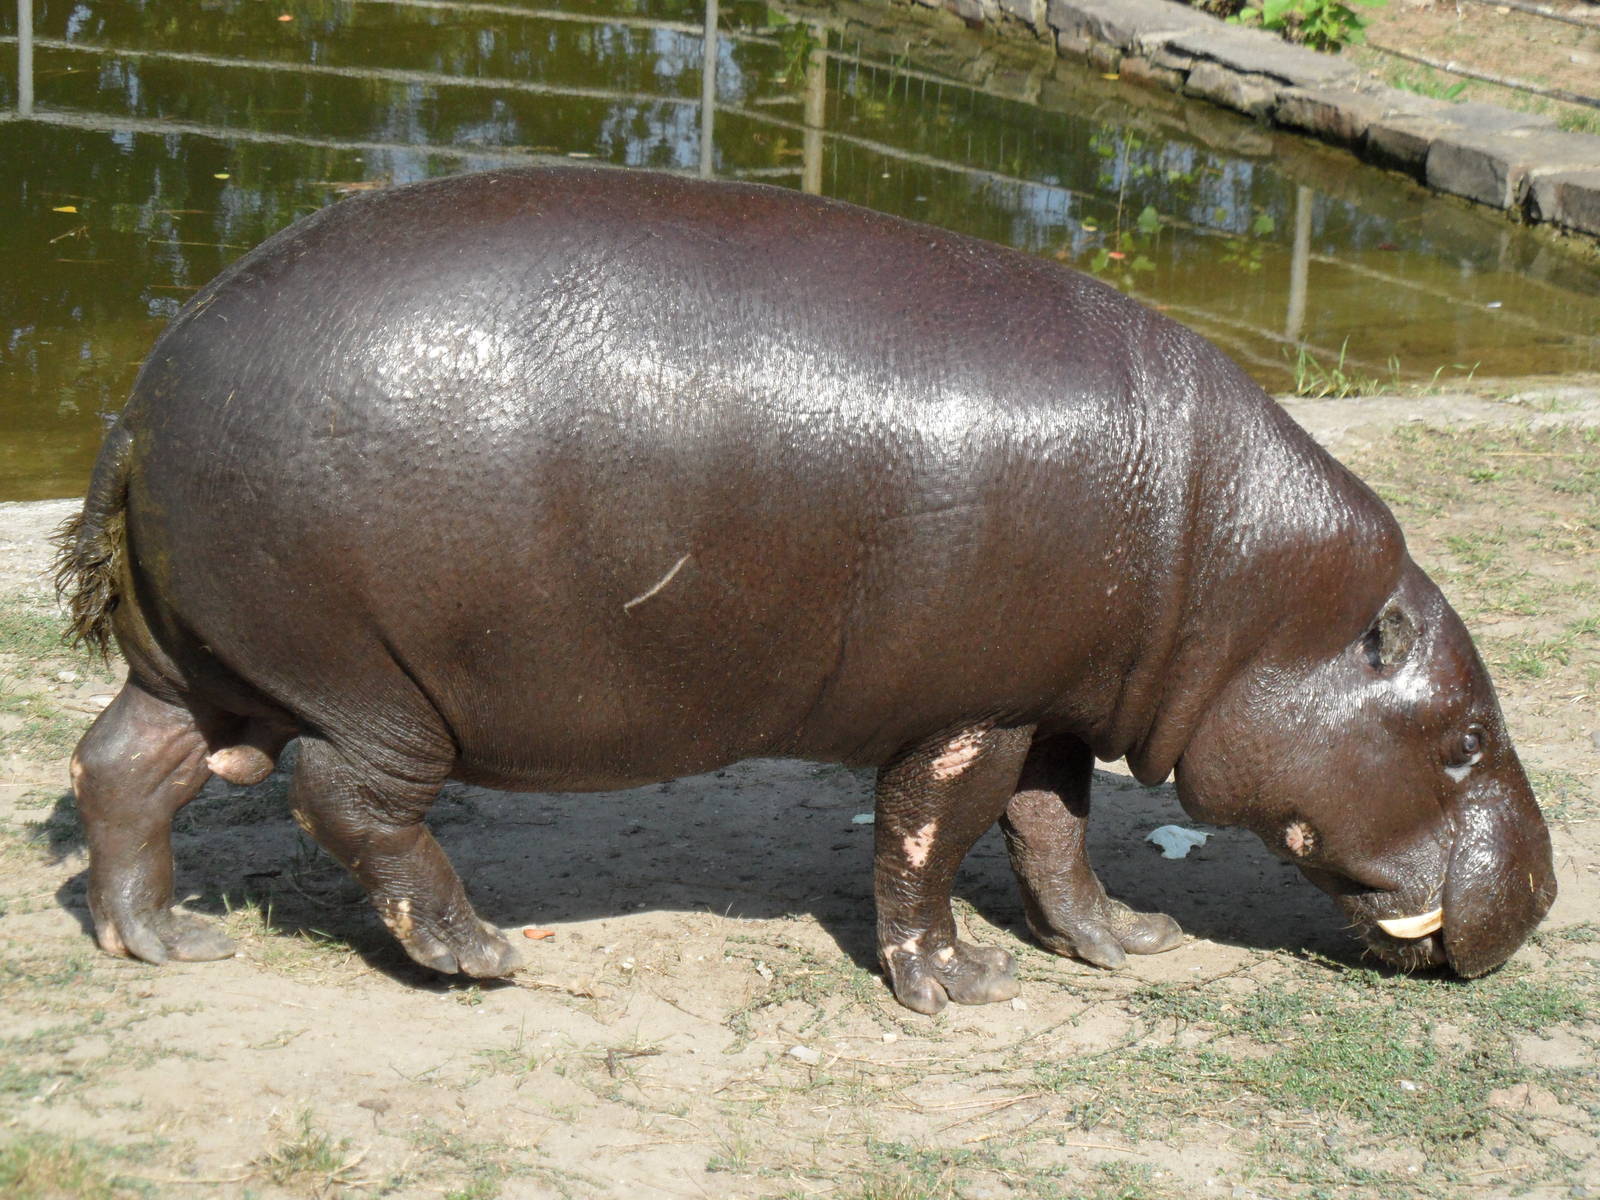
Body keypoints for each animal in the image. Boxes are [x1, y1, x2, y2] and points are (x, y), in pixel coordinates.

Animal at [57, 166, 1554, 1014]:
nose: (1543, 898)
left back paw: (167, 946)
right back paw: (480, 958)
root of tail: (139, 399)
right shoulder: (970, 708)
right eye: (1467, 737)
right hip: (367, 684)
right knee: (348, 803)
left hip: (215, 662)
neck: (1235, 578)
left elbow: (1057, 835)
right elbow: (930, 840)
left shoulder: (1050, 698)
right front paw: (957, 987)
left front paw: (1126, 942)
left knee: (124, 764)